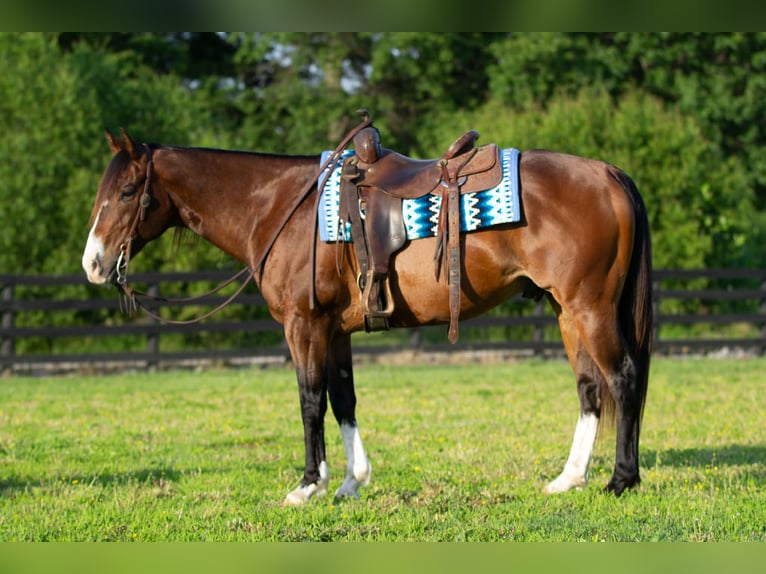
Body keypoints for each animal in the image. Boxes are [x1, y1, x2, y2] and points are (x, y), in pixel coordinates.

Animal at [82, 125, 652, 506]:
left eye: (128, 191)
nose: (93, 263)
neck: (280, 208)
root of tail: (608, 173)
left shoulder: (304, 325)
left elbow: (310, 401)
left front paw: (308, 485)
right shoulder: (335, 330)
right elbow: (343, 401)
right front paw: (352, 481)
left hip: (590, 308)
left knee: (623, 379)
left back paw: (621, 479)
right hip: (566, 312)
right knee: (590, 389)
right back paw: (569, 479)